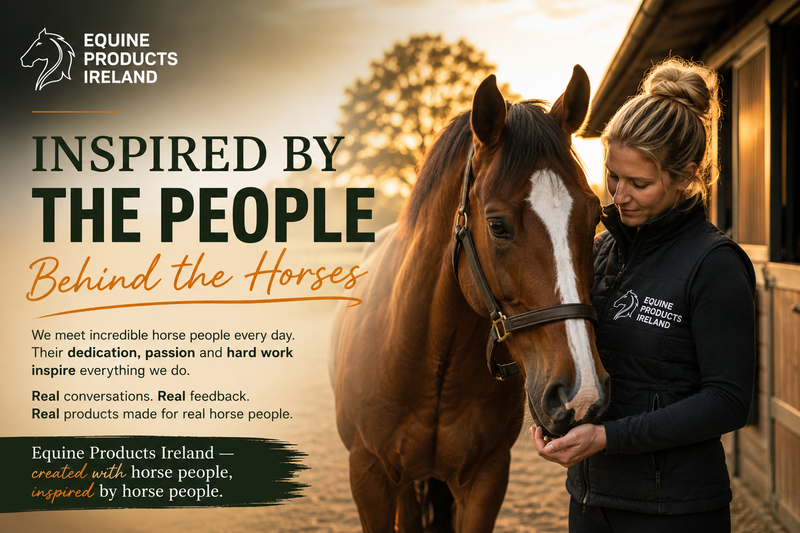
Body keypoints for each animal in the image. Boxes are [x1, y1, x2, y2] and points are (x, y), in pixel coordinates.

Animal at [330, 66, 610, 532]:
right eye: (497, 225)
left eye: (595, 216)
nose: (582, 392)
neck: (429, 360)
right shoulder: (368, 476)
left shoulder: (486, 478)